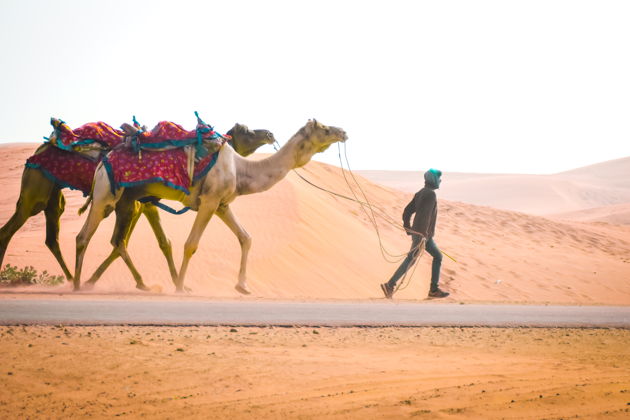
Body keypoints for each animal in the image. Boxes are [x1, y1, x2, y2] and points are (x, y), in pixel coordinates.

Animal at [0, 121, 276, 288]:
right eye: (248, 132)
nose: (269, 133)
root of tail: (37, 151)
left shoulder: (141, 204)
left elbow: (154, 242)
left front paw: (174, 281)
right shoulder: (139, 204)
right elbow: (132, 242)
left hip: (52, 198)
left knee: (51, 238)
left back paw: (70, 278)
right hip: (36, 192)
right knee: (11, 229)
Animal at [76, 120, 348, 294]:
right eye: (324, 128)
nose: (343, 132)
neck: (241, 169)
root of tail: (103, 162)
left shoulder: (222, 204)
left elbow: (246, 237)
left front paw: (242, 286)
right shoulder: (209, 201)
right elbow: (191, 244)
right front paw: (181, 286)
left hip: (126, 199)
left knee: (117, 240)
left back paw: (129, 283)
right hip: (106, 194)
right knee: (84, 236)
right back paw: (78, 285)